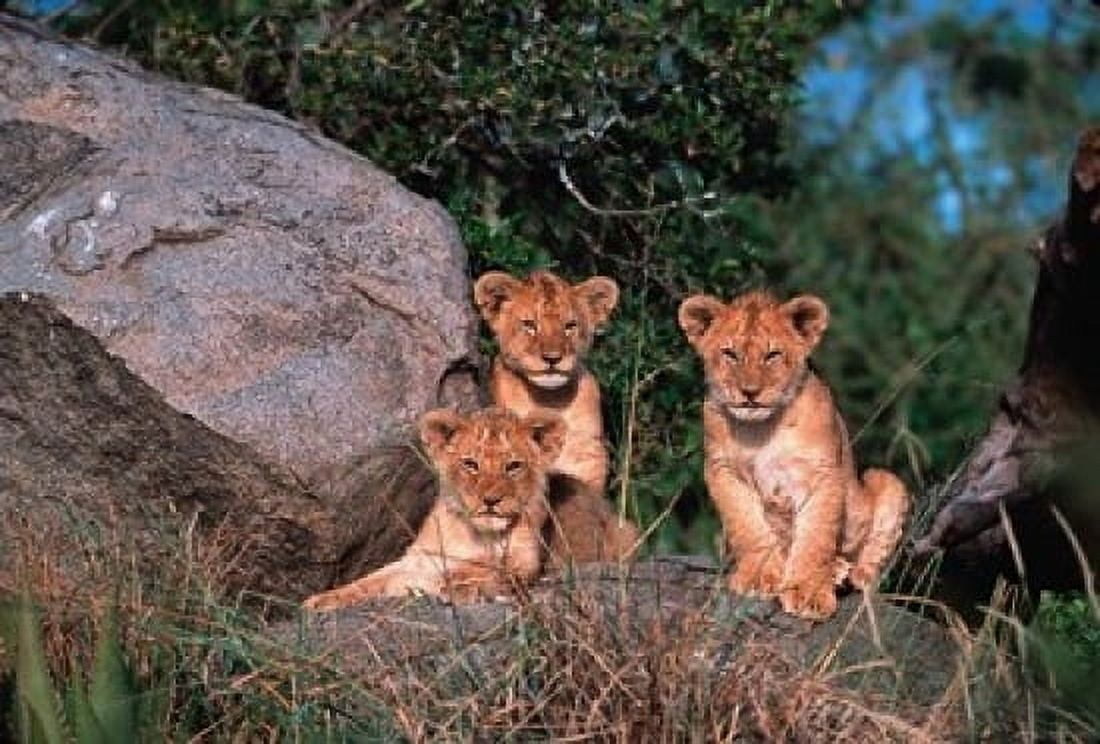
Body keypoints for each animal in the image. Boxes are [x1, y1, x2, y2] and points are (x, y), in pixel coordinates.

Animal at [302, 407, 565, 610]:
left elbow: (493, 570)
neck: (477, 535)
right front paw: (322, 600)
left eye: (513, 466)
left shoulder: (526, 561)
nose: (490, 500)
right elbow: (368, 581)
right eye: (471, 464)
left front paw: (459, 585)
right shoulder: (419, 559)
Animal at [678, 290, 909, 620]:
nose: (749, 392)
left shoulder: (823, 474)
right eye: (730, 354)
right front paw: (759, 577)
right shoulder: (723, 471)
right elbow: (748, 527)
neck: (760, 430)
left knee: (869, 567)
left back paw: (846, 572)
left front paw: (809, 594)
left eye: (772, 354)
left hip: (886, 481)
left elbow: (815, 537)